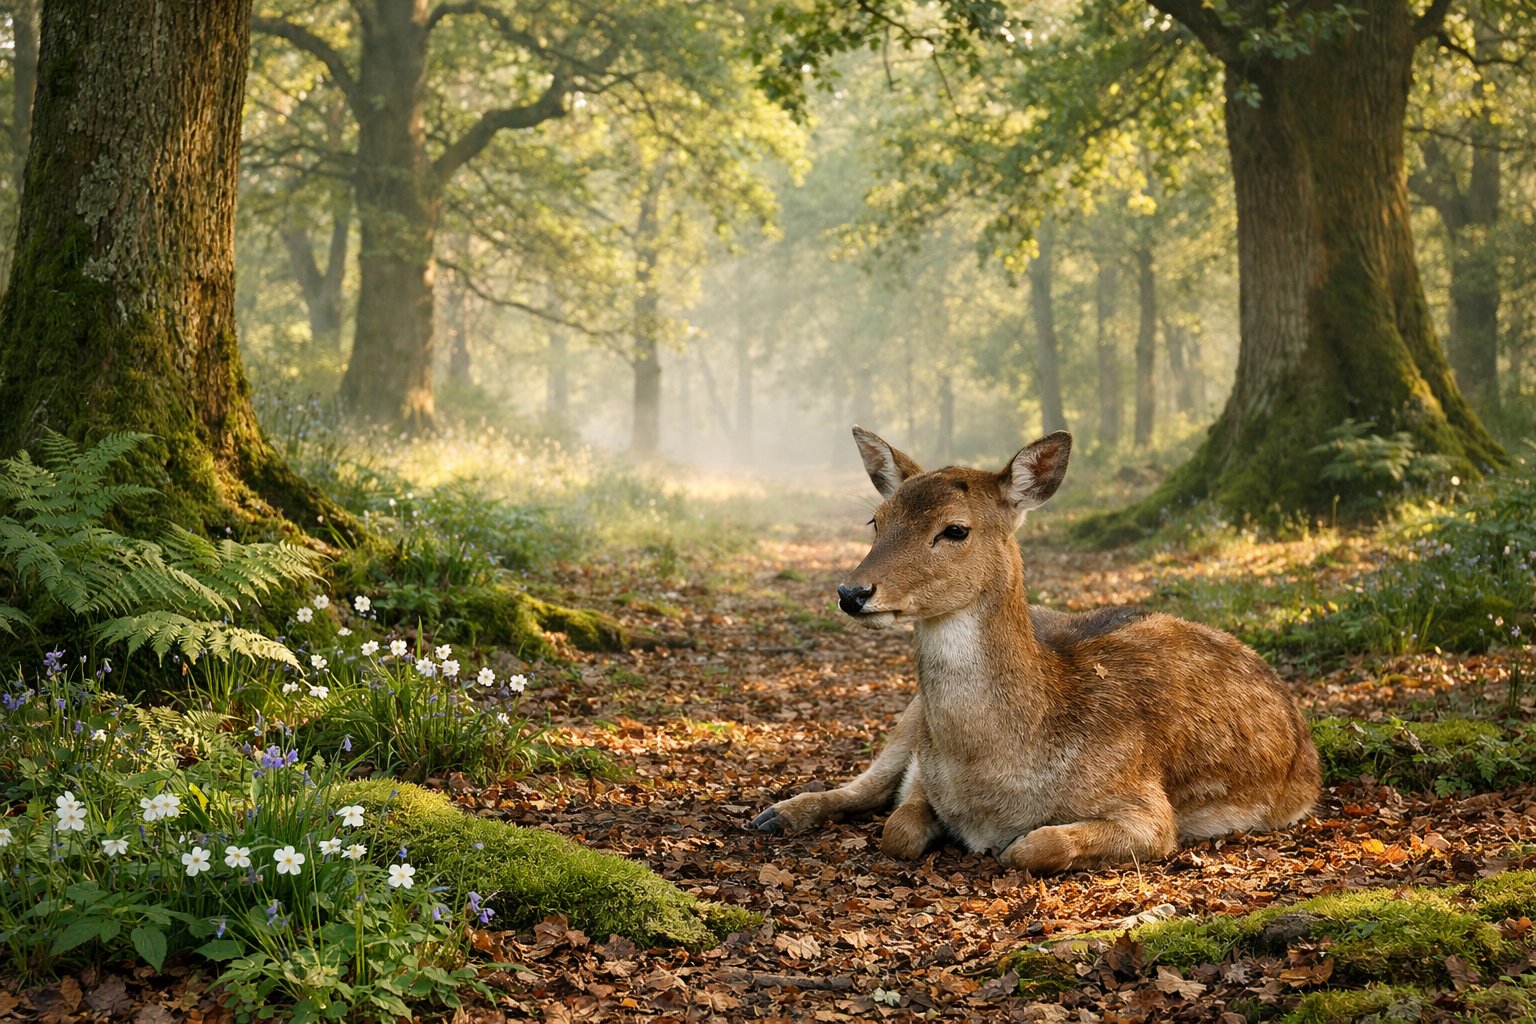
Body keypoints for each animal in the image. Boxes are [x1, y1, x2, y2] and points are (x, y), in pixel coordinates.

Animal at [751, 427, 1321, 874]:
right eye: (877, 520)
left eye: (955, 529)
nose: (852, 592)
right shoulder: (922, 770)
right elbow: (898, 829)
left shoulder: (1148, 807)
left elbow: (1033, 847)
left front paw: (1011, 844)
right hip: (911, 715)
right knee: (866, 785)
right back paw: (775, 813)